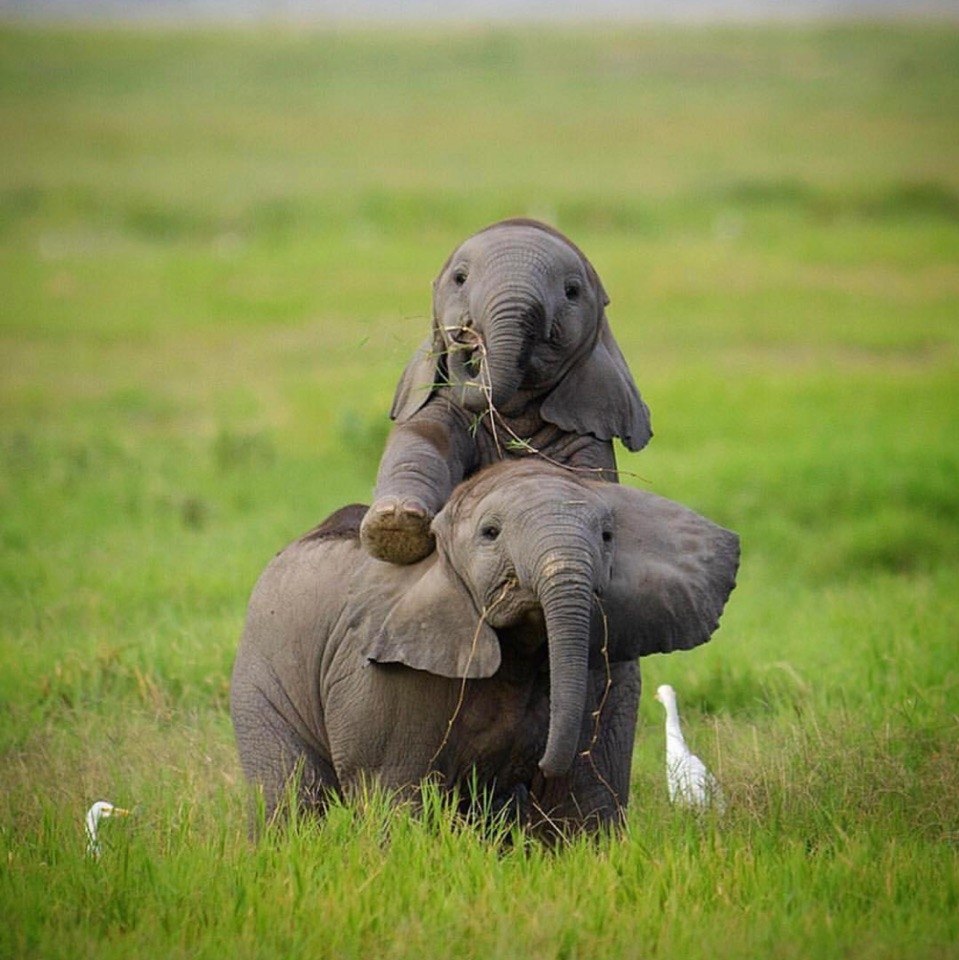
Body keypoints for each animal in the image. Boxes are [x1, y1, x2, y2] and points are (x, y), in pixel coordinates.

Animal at [232, 462, 744, 836]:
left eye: (607, 537)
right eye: (490, 534)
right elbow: (395, 793)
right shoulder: (385, 674)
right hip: (261, 675)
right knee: (291, 796)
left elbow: (585, 796)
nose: (538, 764)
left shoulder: (608, 667)